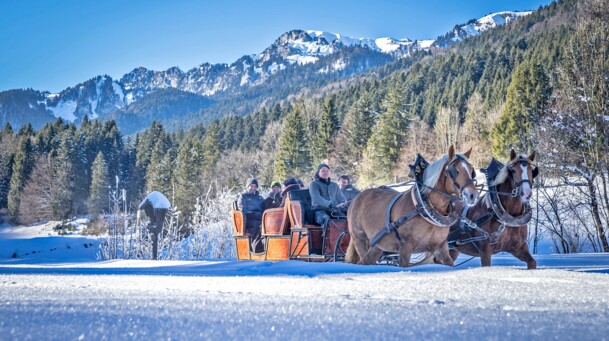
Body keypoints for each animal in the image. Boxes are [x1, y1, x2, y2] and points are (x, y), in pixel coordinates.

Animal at [344, 145, 478, 266]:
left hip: (378, 246)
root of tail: (356, 199)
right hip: (360, 239)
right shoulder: (405, 247)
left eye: (471, 171)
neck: (425, 207)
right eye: (455, 171)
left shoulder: (440, 247)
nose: (473, 195)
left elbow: (450, 263)